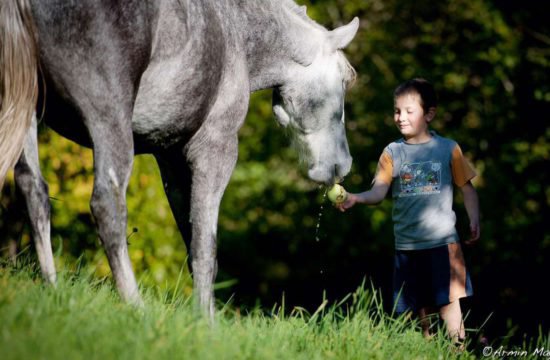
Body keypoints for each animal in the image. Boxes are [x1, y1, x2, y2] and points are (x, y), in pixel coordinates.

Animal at [0, 0, 360, 316]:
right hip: (109, 122)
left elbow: (191, 240)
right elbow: (205, 247)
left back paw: (52, 286)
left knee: (34, 191)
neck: (237, 30)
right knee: (107, 206)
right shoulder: (216, 150)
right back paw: (135, 307)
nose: (342, 166)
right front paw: (207, 323)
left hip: (25, 114)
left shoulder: (171, 161)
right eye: (343, 83)